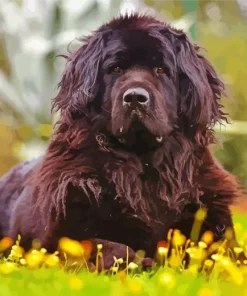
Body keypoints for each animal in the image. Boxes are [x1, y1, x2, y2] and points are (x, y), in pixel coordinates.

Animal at [0, 13, 243, 268]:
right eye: (115, 68)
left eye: (161, 69)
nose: (135, 97)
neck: (144, 164)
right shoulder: (58, 235)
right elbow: (111, 247)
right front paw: (144, 263)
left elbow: (222, 254)